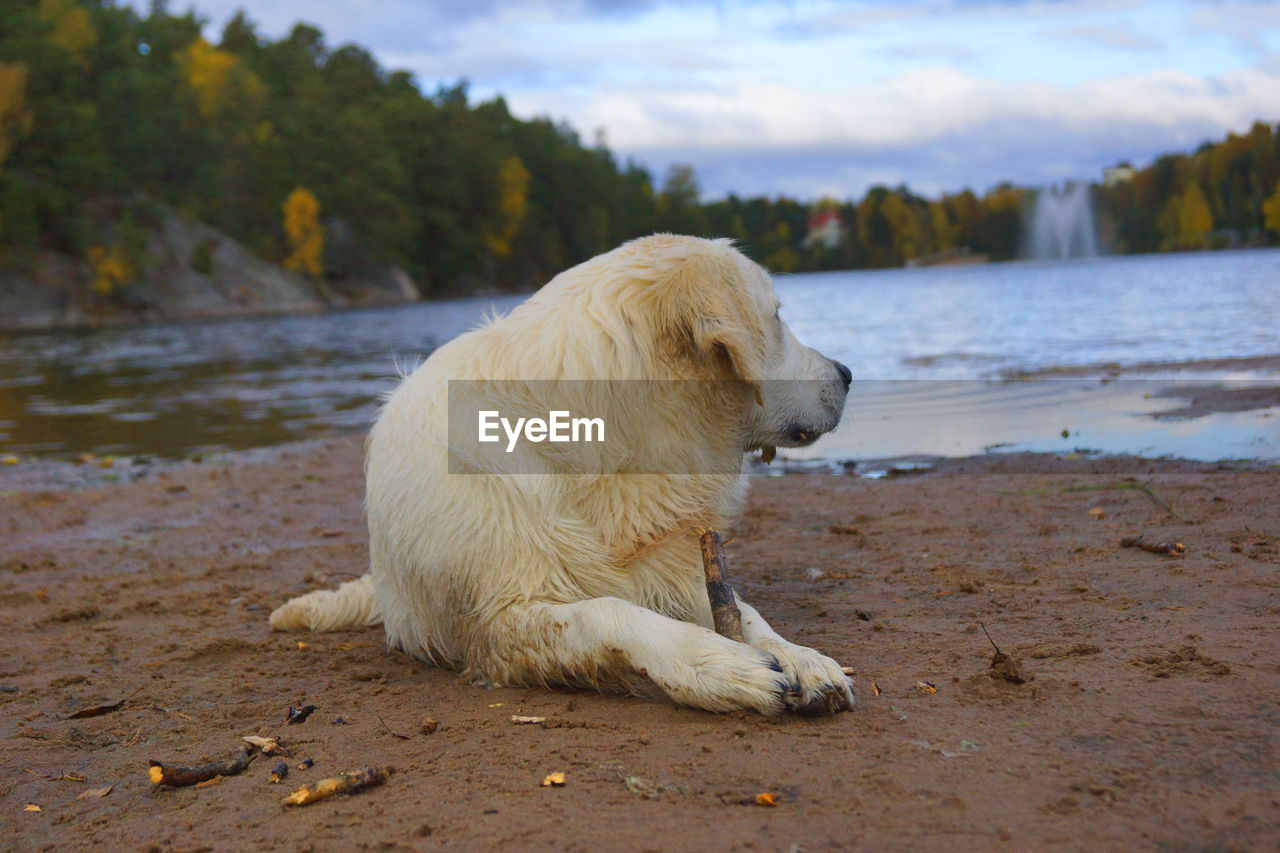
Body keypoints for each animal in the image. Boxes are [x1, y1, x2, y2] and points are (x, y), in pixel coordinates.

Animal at [277, 233, 860, 712]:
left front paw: (802, 659)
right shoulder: (500, 621)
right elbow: (607, 612)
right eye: (778, 316)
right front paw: (718, 667)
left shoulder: (675, 565)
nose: (848, 373)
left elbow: (746, 613)